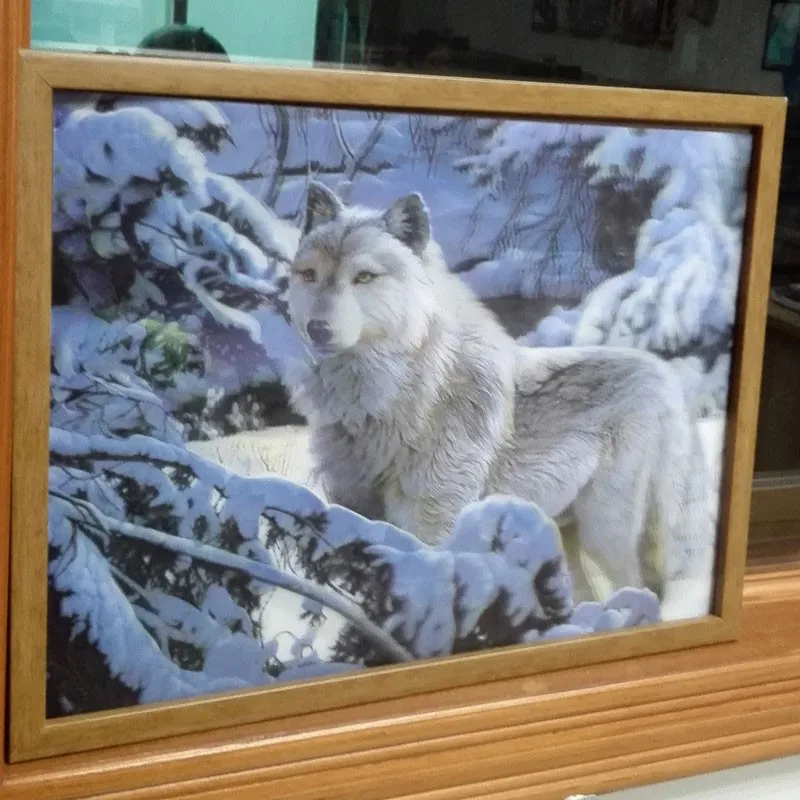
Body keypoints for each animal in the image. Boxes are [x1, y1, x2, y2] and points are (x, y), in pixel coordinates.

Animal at [282, 181, 717, 622]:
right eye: (309, 275)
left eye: (364, 277)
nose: (317, 329)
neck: (382, 400)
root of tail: (667, 378)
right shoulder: (355, 512)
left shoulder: (432, 523)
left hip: (608, 535)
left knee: (642, 590)